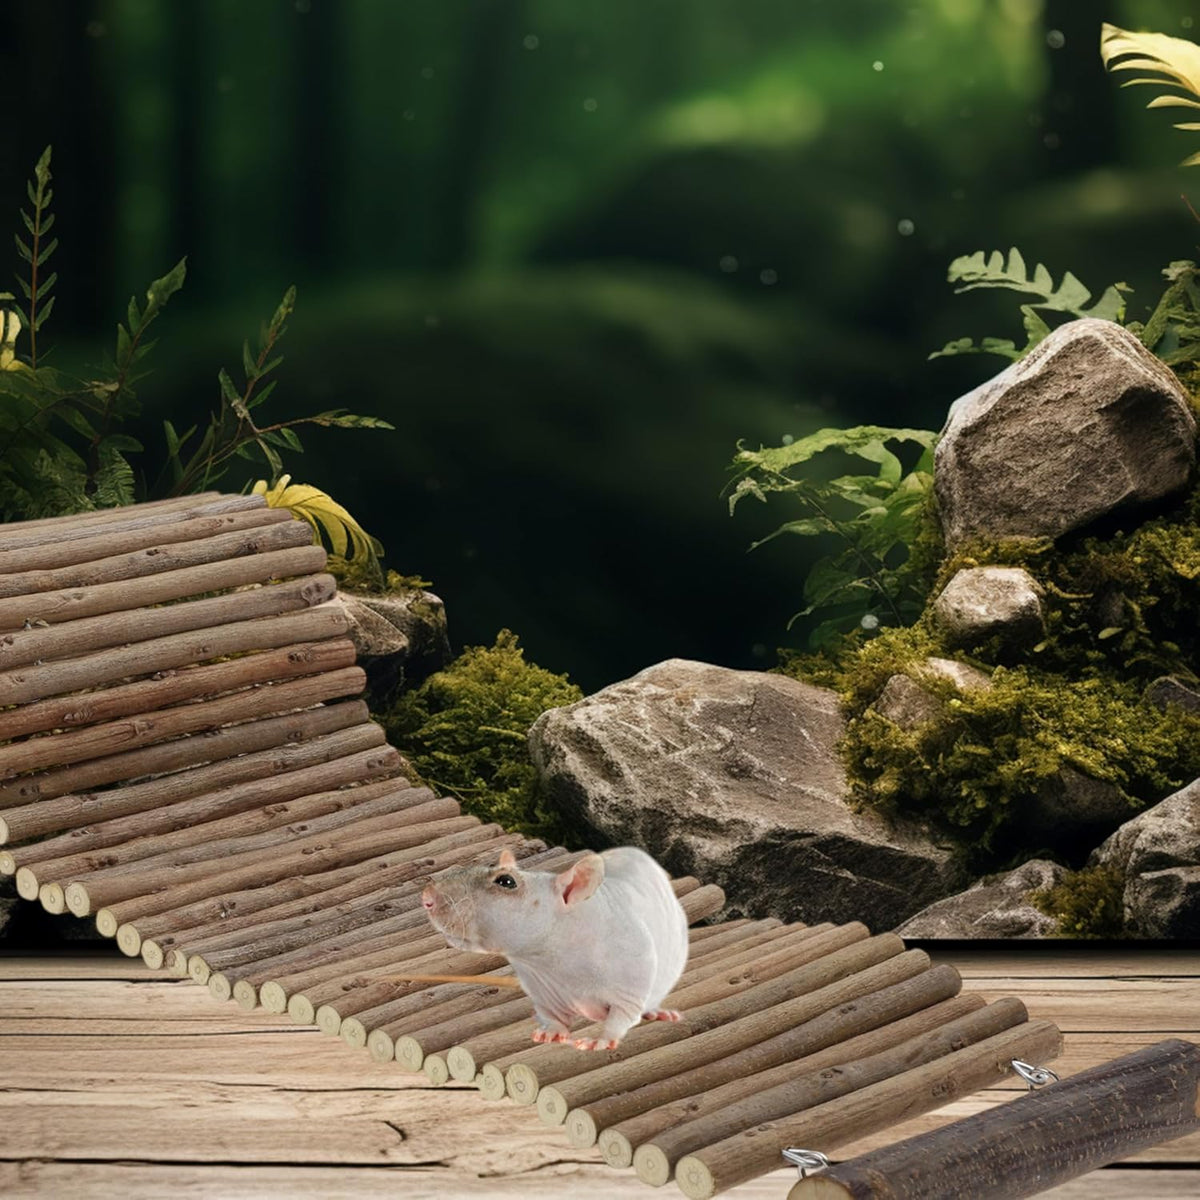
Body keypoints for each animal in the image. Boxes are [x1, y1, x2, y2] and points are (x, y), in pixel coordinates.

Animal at [421, 845, 689, 1050]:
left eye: (506, 881)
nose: (427, 897)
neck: (553, 963)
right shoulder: (542, 988)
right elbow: (550, 1015)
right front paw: (550, 1031)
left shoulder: (632, 975)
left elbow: (622, 1014)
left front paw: (602, 1040)